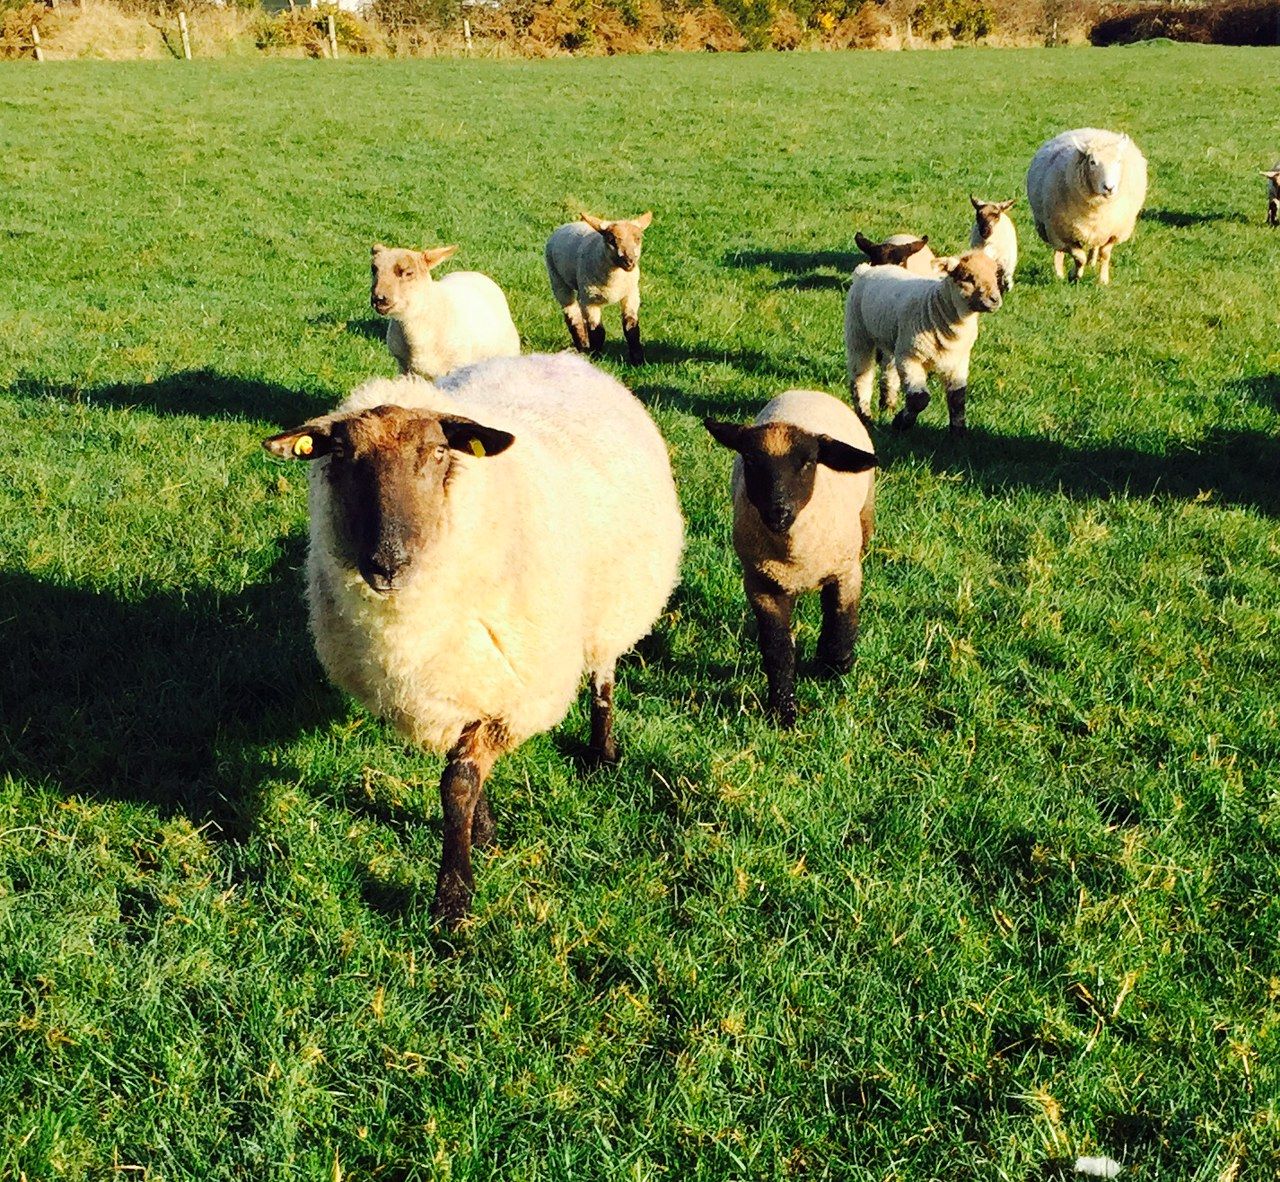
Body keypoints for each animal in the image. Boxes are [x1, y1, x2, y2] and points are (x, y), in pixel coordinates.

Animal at [263, 352, 684, 926]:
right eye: (342, 455)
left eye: (439, 451)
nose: (387, 564)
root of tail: (561, 358)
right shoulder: (456, 682)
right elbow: (461, 776)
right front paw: (480, 833)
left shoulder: (515, 694)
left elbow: (457, 783)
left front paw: (453, 898)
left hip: (613, 606)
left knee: (603, 676)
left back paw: (602, 751)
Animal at [545, 211, 652, 364]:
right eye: (611, 240)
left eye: (638, 238)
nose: (630, 262)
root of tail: (567, 225)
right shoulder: (589, 301)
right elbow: (597, 332)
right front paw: (595, 357)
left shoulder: (631, 294)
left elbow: (631, 327)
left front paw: (638, 360)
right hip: (557, 279)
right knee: (572, 316)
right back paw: (583, 346)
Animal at [704, 390, 877, 728]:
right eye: (751, 459)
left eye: (808, 462)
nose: (778, 511)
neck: (794, 551)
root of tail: (808, 391)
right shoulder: (762, 585)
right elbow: (778, 648)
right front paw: (783, 711)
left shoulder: (847, 571)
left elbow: (842, 619)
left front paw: (835, 666)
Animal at [844, 249, 1003, 435]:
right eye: (967, 277)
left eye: (995, 274)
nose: (995, 299)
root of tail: (866, 270)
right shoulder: (910, 357)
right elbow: (920, 399)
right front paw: (901, 423)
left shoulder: (959, 361)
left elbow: (957, 398)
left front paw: (958, 434)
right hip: (857, 330)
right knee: (861, 374)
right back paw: (865, 416)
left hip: (894, 339)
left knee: (888, 370)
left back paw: (888, 405)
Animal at [1026, 129, 1148, 285]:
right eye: (1092, 162)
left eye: (1118, 161)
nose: (1109, 188)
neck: (1097, 209)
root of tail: (1096, 131)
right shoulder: (1064, 233)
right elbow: (1079, 257)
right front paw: (1074, 275)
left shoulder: (1113, 232)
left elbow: (1104, 254)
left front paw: (1103, 280)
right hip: (1050, 227)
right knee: (1058, 250)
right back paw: (1059, 273)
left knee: (1094, 246)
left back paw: (1092, 262)